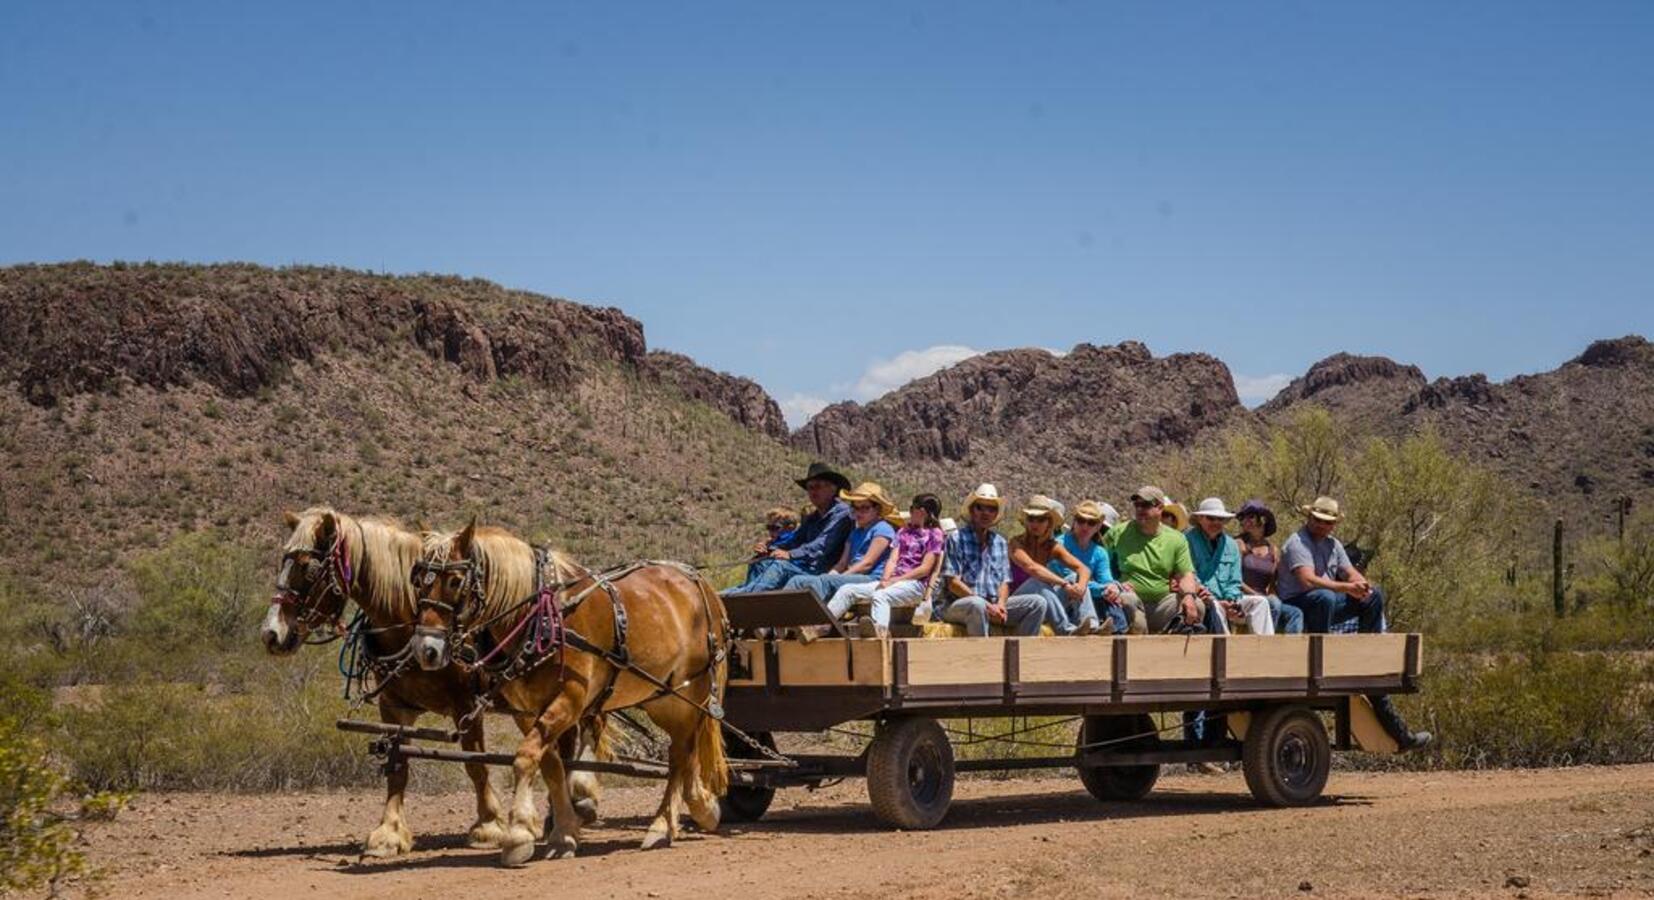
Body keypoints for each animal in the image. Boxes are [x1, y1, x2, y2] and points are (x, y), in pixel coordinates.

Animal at [264, 506, 608, 860]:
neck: (408, 623)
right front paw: (388, 833)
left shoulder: (466, 705)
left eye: (308, 567)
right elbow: (398, 767)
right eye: (282, 561)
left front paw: (489, 826)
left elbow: (476, 765)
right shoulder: (393, 707)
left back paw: (576, 804)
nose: (271, 634)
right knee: (563, 748)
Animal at [408, 522, 731, 866]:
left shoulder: (570, 700)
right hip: (663, 696)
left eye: (455, 581)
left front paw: (518, 835)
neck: (542, 617)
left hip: (687, 692)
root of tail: (702, 585)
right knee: (685, 750)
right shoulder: (527, 712)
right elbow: (550, 765)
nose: (427, 649)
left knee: (681, 752)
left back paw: (661, 826)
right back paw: (700, 805)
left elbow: (525, 758)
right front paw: (563, 833)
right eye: (417, 580)